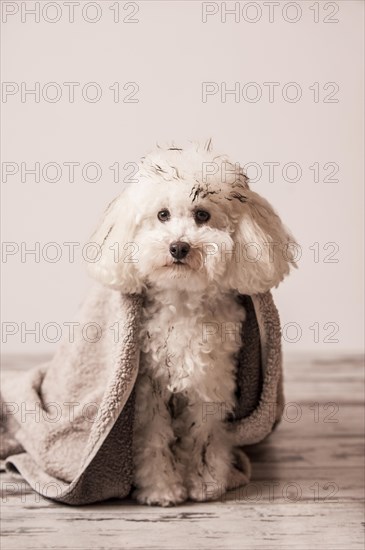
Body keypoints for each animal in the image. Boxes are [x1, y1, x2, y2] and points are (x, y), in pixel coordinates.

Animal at [89, 141, 296, 508]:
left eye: (202, 215)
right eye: (162, 215)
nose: (179, 247)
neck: (183, 300)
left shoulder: (212, 382)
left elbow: (204, 435)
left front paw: (206, 482)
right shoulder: (148, 389)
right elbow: (154, 439)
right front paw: (161, 488)